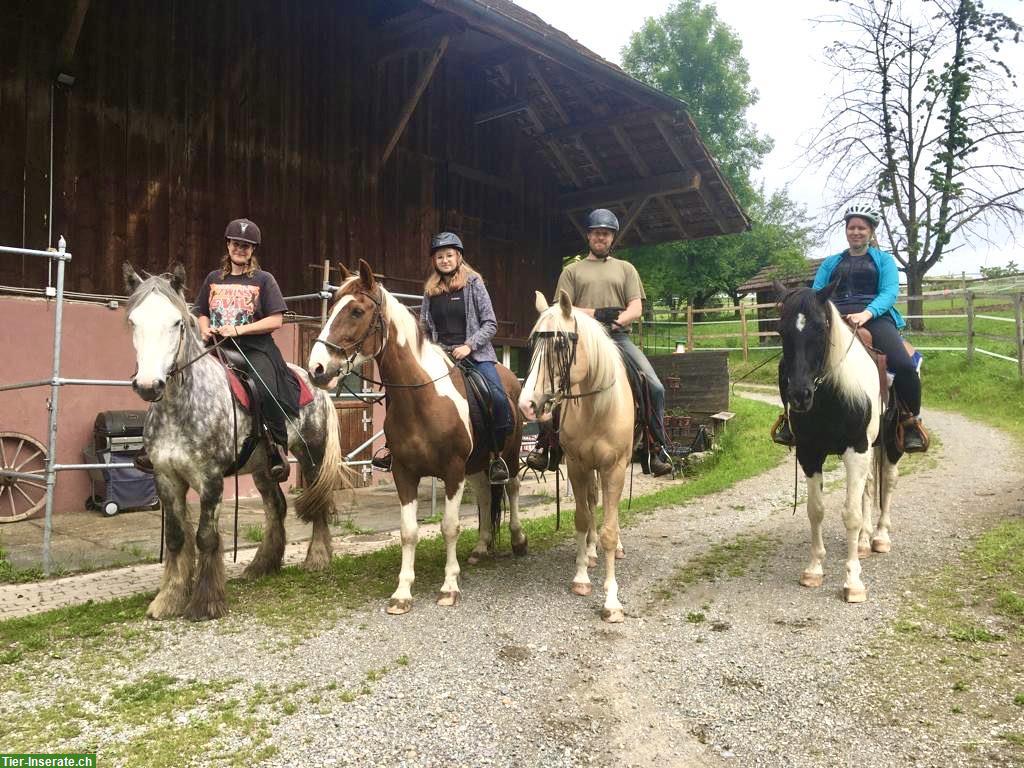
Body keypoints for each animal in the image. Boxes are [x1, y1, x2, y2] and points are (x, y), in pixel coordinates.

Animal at [123, 268, 352, 622]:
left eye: (176, 323)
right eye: (133, 321)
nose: (149, 385)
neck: (183, 406)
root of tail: (315, 382)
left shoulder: (210, 479)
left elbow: (205, 537)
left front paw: (205, 602)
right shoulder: (166, 477)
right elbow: (176, 538)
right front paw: (169, 599)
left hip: (311, 455)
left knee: (317, 503)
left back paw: (317, 558)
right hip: (263, 468)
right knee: (276, 507)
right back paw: (263, 565)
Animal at [303, 262, 528, 618]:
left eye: (356, 311)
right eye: (334, 305)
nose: (317, 368)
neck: (422, 397)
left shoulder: (452, 471)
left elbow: (449, 526)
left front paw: (449, 587)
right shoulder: (404, 472)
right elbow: (408, 532)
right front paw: (402, 593)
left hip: (509, 452)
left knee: (513, 488)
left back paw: (518, 540)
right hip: (478, 463)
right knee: (483, 494)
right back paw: (480, 547)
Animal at [520, 290, 630, 622]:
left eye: (559, 345)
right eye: (532, 344)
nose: (527, 404)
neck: (597, 409)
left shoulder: (614, 468)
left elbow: (610, 530)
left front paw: (611, 601)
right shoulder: (578, 465)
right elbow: (582, 519)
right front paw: (582, 577)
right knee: (592, 503)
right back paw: (591, 554)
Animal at [778, 280, 901, 606]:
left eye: (821, 328)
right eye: (782, 331)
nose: (800, 395)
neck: (832, 396)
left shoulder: (856, 450)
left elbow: (851, 515)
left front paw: (853, 582)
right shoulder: (810, 454)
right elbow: (816, 509)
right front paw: (814, 569)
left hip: (889, 444)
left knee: (887, 481)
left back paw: (879, 537)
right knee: (869, 486)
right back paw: (864, 542)